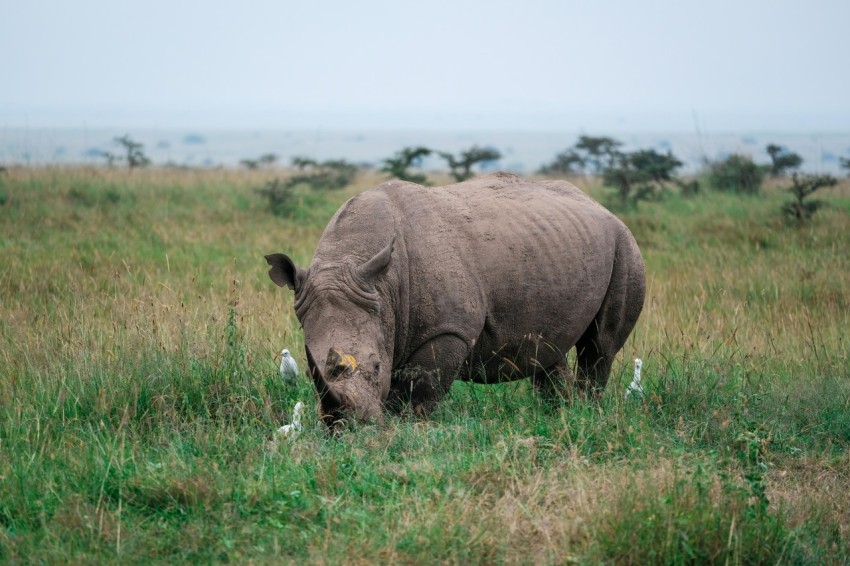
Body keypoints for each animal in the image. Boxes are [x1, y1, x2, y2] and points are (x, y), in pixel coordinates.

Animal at [265, 172, 645, 425]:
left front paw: (406, 428)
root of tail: (601, 207)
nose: (347, 427)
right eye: (310, 365)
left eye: (376, 366)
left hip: (624, 246)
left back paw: (586, 412)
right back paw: (558, 416)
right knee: (549, 349)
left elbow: (420, 388)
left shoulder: (448, 330)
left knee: (600, 346)